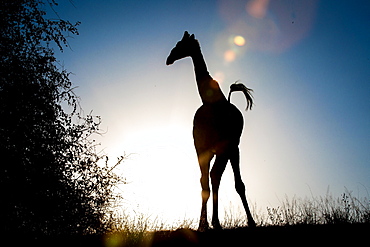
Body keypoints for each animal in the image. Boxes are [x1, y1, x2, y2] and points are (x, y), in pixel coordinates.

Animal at [166, 31, 256, 232]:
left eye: (180, 44)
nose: (169, 59)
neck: (212, 102)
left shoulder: (227, 147)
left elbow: (229, 182)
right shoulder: (202, 148)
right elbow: (206, 182)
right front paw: (205, 223)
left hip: (229, 149)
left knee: (226, 180)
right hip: (219, 151)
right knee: (211, 179)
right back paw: (210, 222)